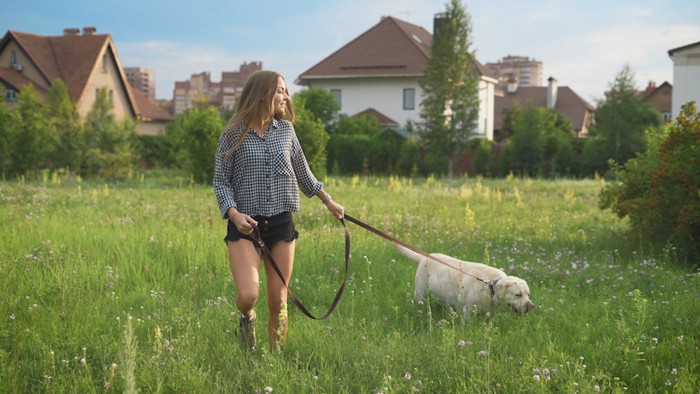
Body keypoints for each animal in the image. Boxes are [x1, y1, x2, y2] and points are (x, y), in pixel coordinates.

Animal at [394, 245, 536, 322]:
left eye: (528, 294)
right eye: (517, 295)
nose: (531, 306)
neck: (490, 286)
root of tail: (425, 257)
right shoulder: (467, 309)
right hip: (420, 292)